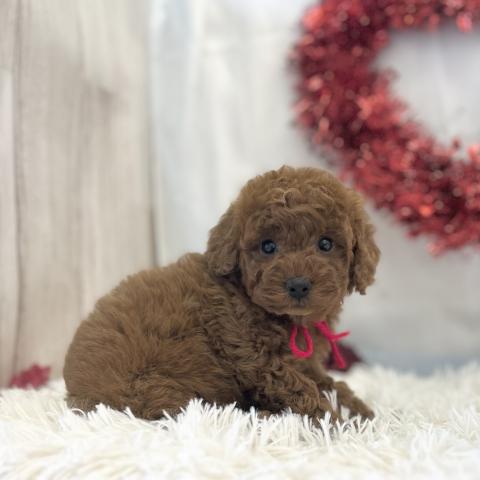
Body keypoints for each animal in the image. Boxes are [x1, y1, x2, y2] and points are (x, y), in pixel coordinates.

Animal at [64, 166, 380, 422]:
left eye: (326, 244)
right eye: (268, 246)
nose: (298, 285)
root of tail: (74, 390)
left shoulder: (303, 361)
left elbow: (328, 382)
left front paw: (358, 409)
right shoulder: (256, 359)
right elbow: (300, 387)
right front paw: (332, 420)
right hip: (151, 387)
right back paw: (262, 414)